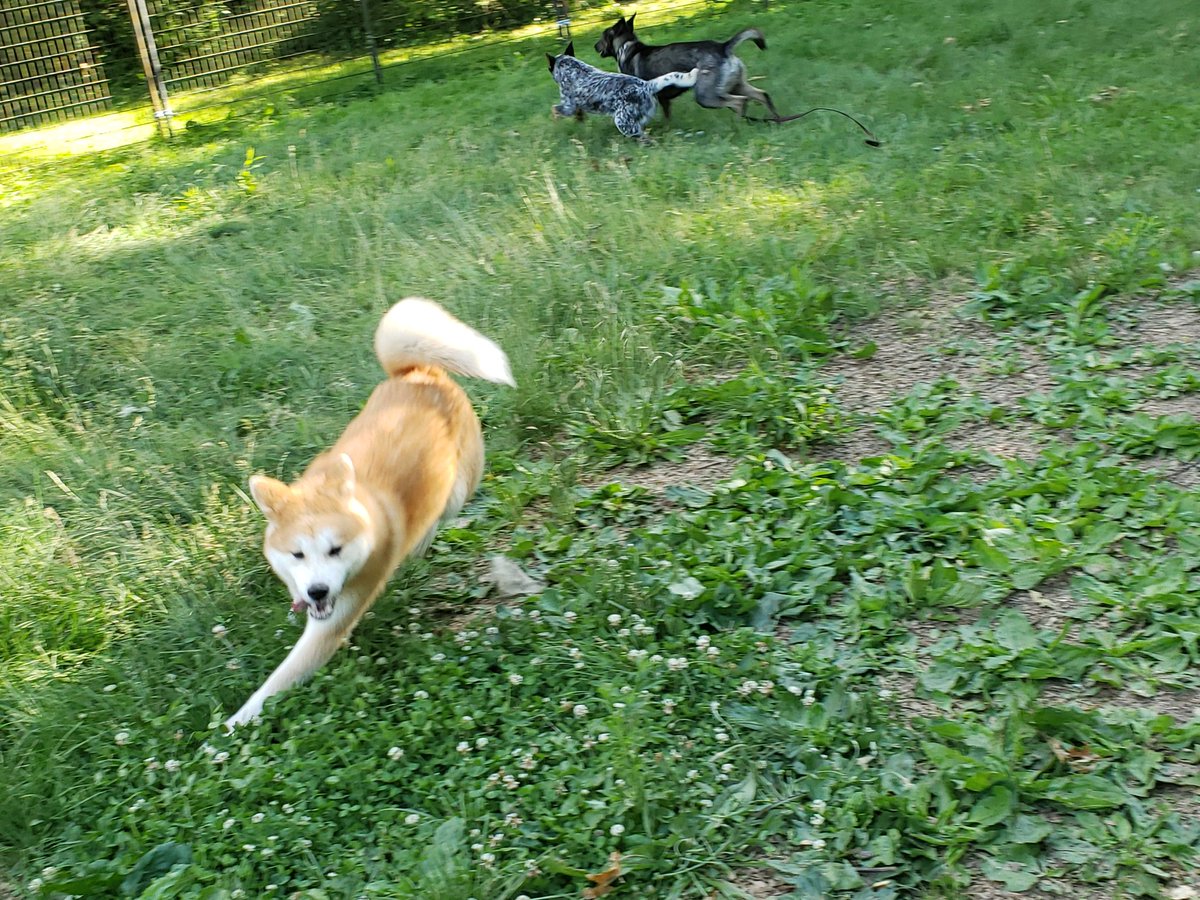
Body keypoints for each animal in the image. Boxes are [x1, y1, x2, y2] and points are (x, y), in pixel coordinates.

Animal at [226, 300, 513, 729]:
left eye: (336, 550)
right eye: (297, 554)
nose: (317, 591)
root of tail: (420, 373)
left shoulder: (332, 623)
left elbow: (275, 683)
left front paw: (231, 727)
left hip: (459, 488)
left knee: (441, 513)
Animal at [547, 41, 700, 141]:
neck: (571, 67)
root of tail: (647, 85)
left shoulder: (568, 107)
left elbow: (554, 109)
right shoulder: (575, 107)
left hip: (622, 122)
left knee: (647, 140)